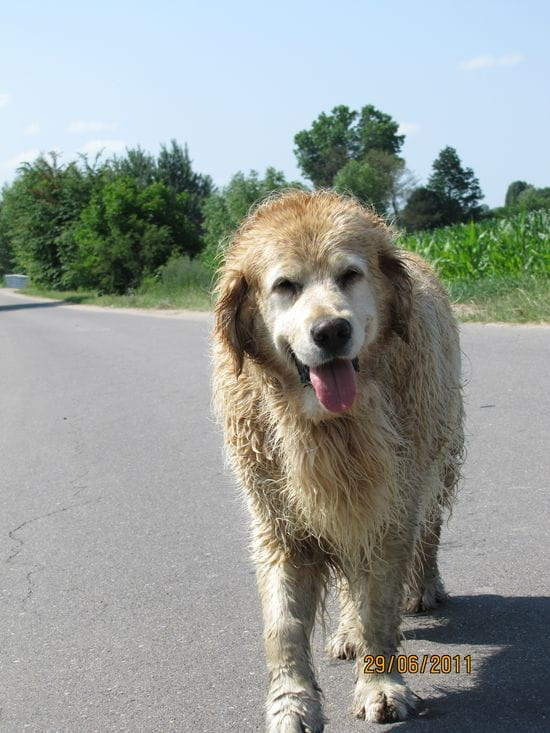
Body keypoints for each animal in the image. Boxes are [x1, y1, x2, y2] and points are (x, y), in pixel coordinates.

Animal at [213, 189, 464, 728]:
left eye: (350, 275)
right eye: (285, 286)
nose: (330, 331)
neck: (330, 425)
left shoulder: (392, 507)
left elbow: (379, 608)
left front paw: (381, 686)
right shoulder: (279, 522)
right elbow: (283, 625)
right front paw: (292, 702)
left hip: (441, 458)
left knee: (429, 532)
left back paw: (424, 586)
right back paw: (347, 633)